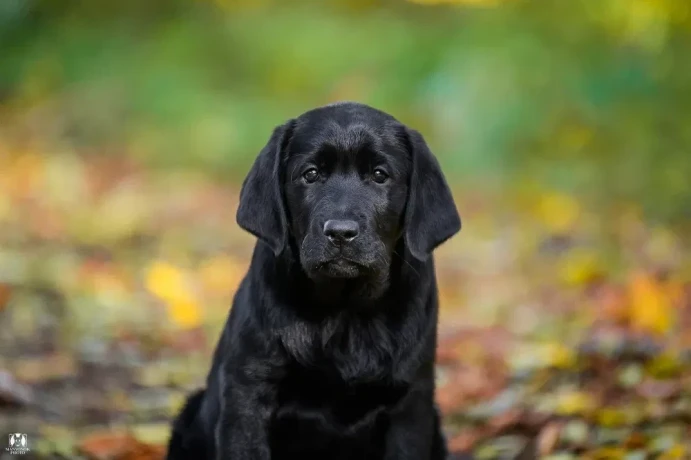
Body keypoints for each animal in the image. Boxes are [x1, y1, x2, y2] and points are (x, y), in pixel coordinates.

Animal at [165, 102, 462, 458]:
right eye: (311, 174)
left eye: (380, 175)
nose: (341, 232)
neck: (345, 312)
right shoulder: (247, 394)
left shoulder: (410, 402)